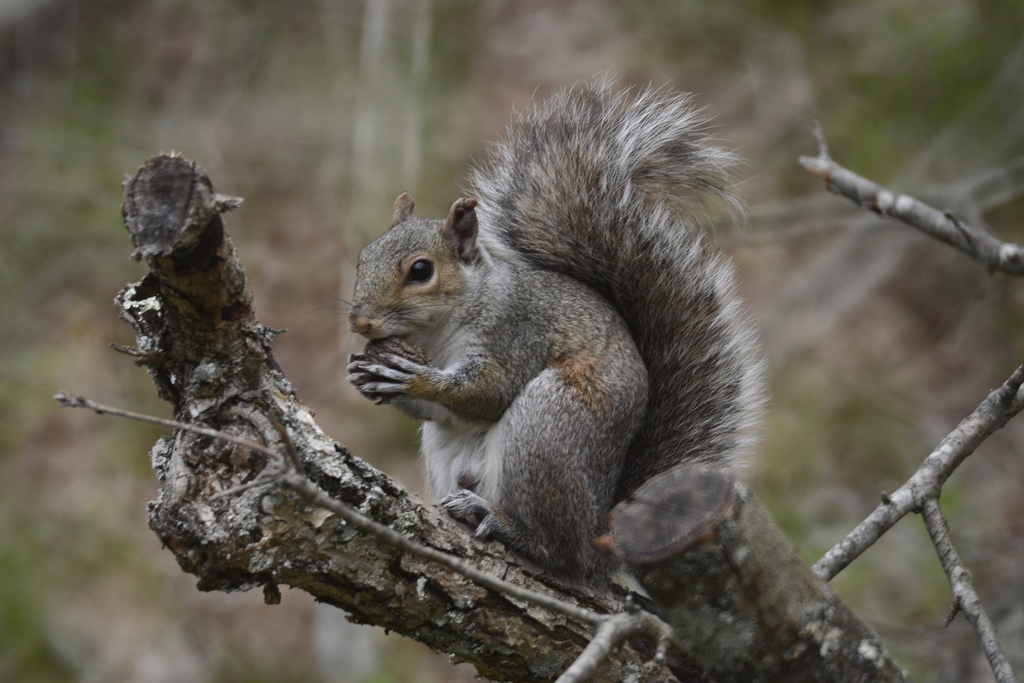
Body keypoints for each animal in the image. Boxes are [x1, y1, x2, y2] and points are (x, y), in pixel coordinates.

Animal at [348, 82, 765, 581]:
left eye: (421, 270)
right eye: (362, 260)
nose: (359, 321)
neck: (440, 331)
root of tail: (601, 533)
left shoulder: (518, 332)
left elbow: (489, 392)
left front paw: (416, 379)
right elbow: (440, 412)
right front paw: (365, 374)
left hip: (546, 425)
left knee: (559, 551)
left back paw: (508, 526)